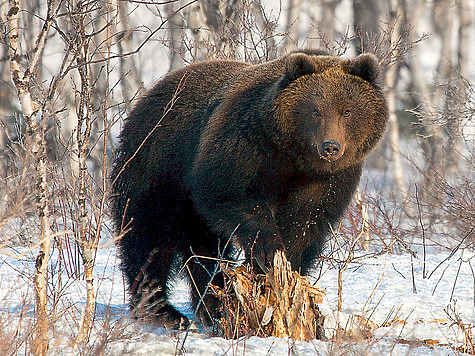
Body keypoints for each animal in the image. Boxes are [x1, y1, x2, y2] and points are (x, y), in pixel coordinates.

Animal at [111, 49, 390, 328]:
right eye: (316, 111)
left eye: (347, 111)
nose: (330, 146)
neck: (292, 156)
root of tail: (147, 96)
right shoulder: (244, 144)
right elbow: (231, 194)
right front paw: (268, 250)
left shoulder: (327, 178)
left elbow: (308, 220)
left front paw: (288, 262)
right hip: (157, 166)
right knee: (147, 237)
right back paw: (161, 309)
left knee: (204, 250)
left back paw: (212, 306)